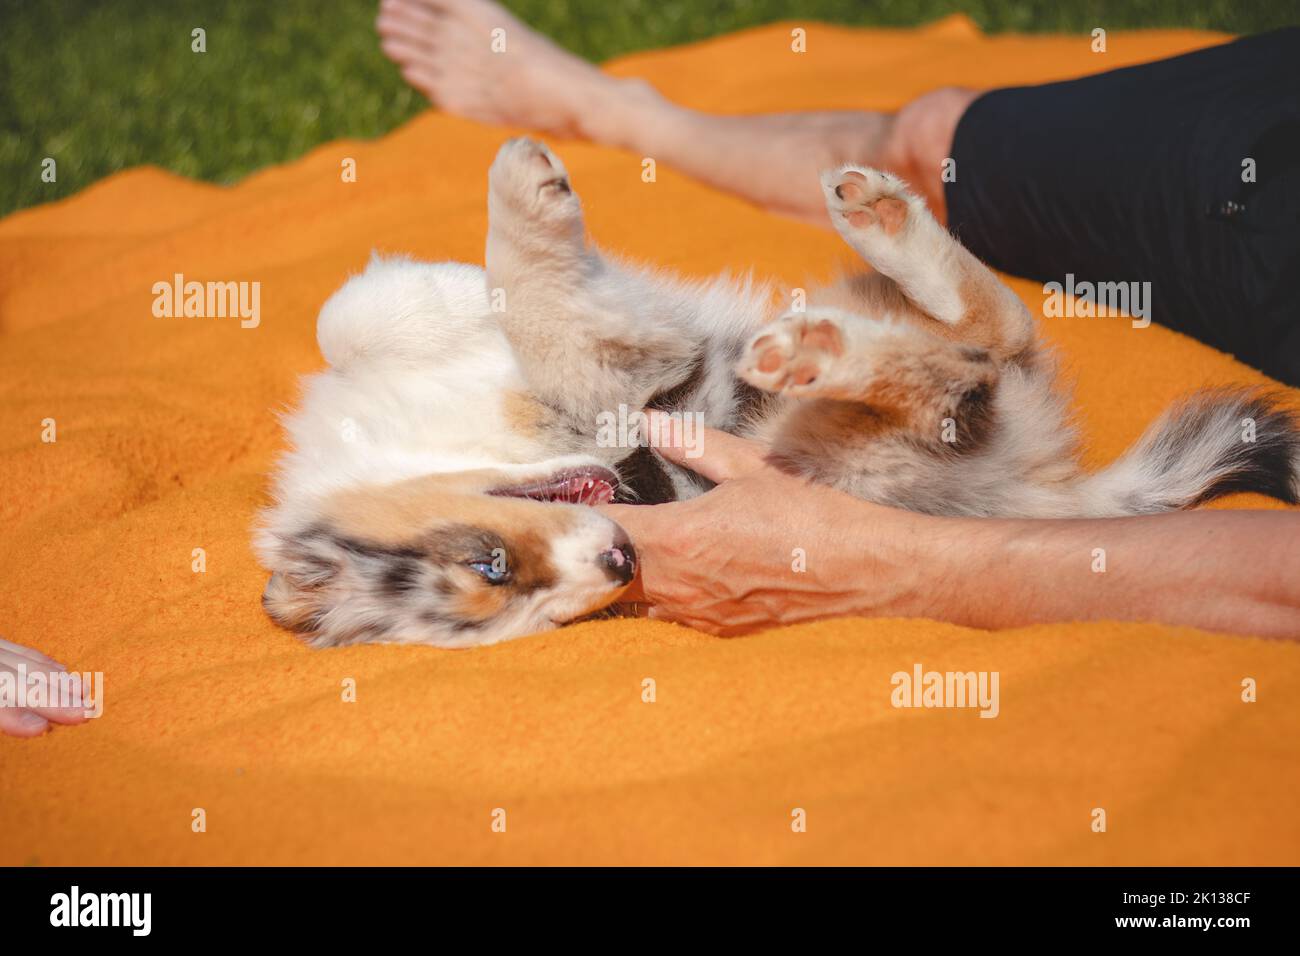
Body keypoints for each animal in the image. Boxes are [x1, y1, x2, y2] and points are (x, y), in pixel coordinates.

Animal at [256, 136, 1300, 650]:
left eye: (489, 564)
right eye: (523, 612)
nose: (623, 560)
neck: (436, 443)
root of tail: (1039, 494)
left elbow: (358, 313)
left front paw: (477, 249)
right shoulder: (623, 389)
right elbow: (555, 334)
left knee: (993, 330)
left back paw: (877, 223)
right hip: (869, 444)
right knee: (967, 369)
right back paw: (823, 345)